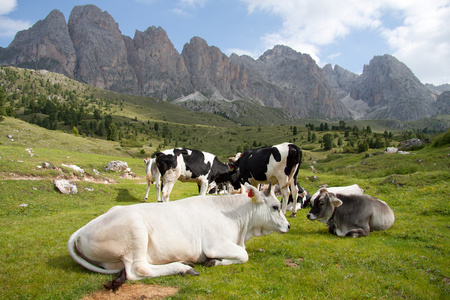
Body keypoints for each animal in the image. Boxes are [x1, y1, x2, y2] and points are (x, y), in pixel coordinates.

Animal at [68, 182, 290, 290]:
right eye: (275, 206)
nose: (288, 226)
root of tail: (82, 230)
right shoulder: (215, 244)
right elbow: (244, 255)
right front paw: (213, 261)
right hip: (136, 232)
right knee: (137, 270)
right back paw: (183, 268)